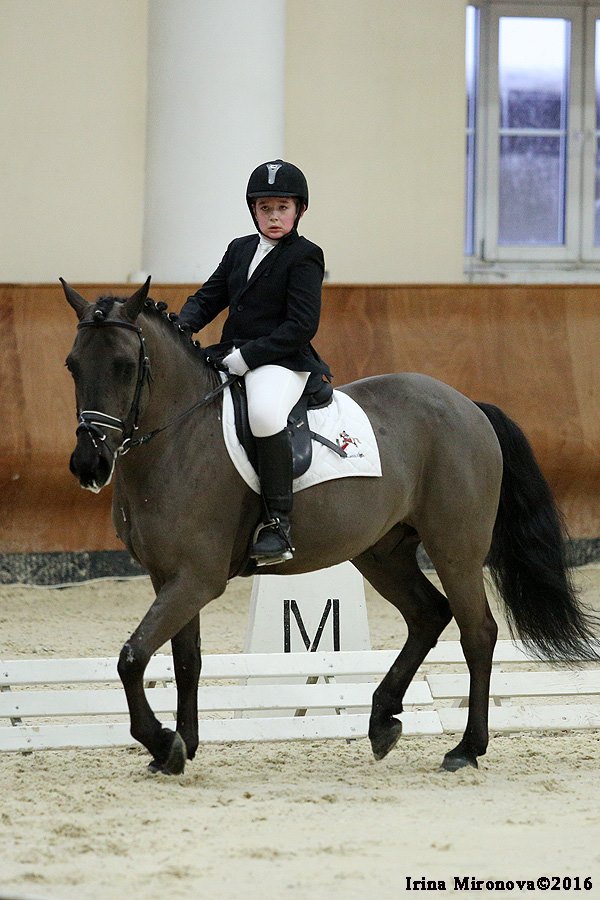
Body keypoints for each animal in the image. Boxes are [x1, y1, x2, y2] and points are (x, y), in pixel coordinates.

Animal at [60, 278, 599, 776]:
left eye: (125, 366)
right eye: (72, 365)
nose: (89, 465)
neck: (177, 438)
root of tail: (467, 405)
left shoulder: (198, 577)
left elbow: (132, 657)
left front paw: (161, 743)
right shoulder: (168, 576)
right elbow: (186, 660)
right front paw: (181, 746)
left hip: (455, 550)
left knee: (477, 633)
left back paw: (466, 748)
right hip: (382, 552)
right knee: (428, 615)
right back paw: (382, 721)